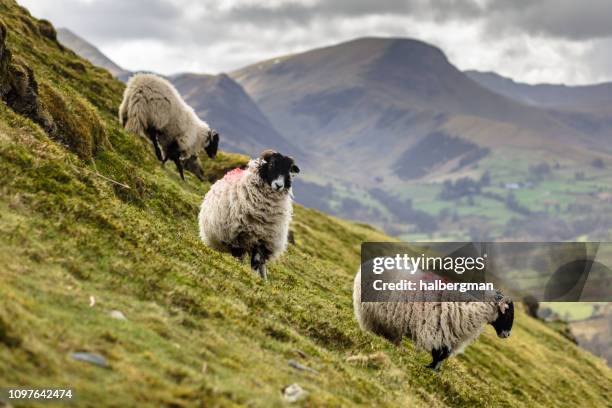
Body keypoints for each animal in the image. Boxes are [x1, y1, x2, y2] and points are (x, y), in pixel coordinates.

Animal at [198, 150, 298, 280]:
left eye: (289, 170)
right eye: (271, 164)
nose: (279, 185)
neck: (262, 213)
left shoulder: (262, 239)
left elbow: (256, 261)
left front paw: (255, 276)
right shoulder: (236, 236)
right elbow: (240, 257)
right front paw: (241, 270)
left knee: (262, 264)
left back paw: (264, 279)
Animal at [352, 266, 512, 372]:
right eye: (507, 313)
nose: (507, 334)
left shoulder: (449, 336)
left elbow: (443, 355)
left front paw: (434, 369)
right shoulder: (436, 331)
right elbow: (437, 354)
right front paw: (431, 368)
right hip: (368, 312)